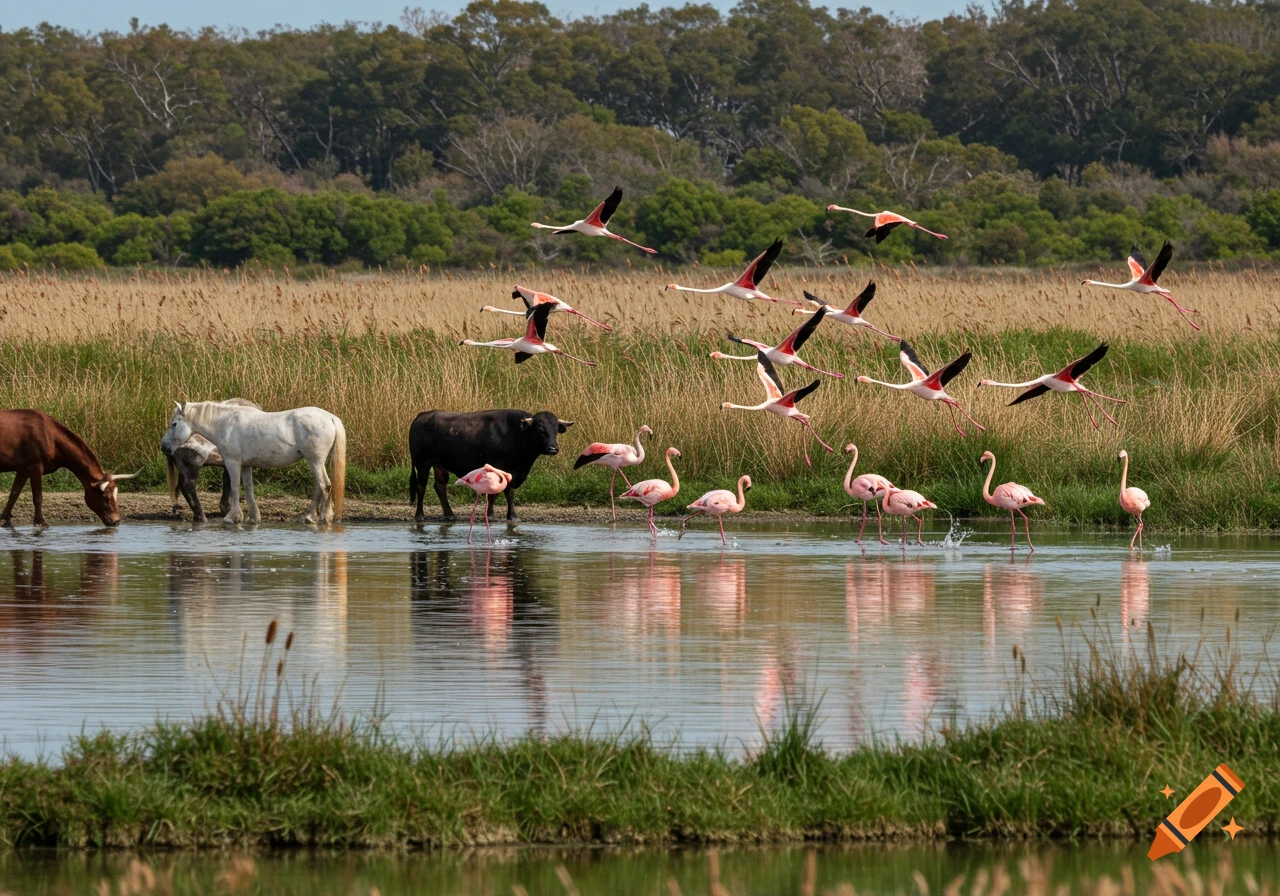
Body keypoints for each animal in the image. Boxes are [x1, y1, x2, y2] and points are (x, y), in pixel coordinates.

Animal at [0, 409, 140, 527]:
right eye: (105, 497)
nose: (116, 521)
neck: (53, 440)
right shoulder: (35, 465)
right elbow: (38, 496)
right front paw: (41, 521)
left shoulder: (23, 469)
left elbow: (14, 494)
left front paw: (5, 520)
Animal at [165, 401, 346, 524]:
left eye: (174, 424)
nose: (164, 446)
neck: (225, 423)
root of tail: (330, 418)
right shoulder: (246, 465)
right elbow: (248, 488)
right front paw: (253, 517)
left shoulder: (232, 462)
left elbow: (234, 487)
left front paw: (233, 517)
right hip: (318, 462)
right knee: (321, 486)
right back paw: (314, 516)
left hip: (315, 461)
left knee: (324, 485)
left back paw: (318, 517)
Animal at [409, 409, 573, 523]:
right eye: (540, 429)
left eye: (555, 430)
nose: (553, 449)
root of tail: (422, 415)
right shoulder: (497, 467)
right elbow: (495, 493)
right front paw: (490, 514)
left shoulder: (512, 471)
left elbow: (509, 493)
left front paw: (512, 515)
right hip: (423, 463)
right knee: (421, 487)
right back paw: (420, 515)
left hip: (439, 464)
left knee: (440, 486)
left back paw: (450, 515)